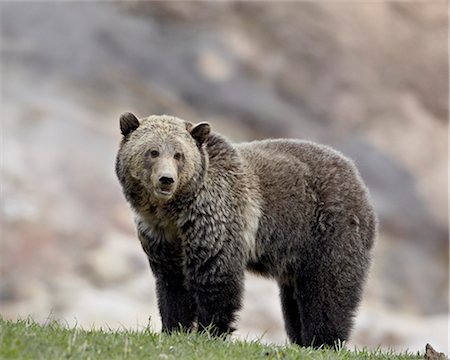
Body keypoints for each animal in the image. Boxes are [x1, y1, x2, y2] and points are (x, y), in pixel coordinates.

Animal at [116, 113, 376, 348]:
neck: (175, 212)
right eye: (152, 151)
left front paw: (210, 332)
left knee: (327, 290)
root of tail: (356, 176)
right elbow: (173, 285)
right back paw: (302, 340)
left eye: (179, 154)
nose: (166, 179)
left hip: (326, 230)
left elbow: (216, 279)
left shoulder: (214, 222)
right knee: (294, 300)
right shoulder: (163, 237)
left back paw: (322, 341)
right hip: (295, 254)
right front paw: (173, 329)